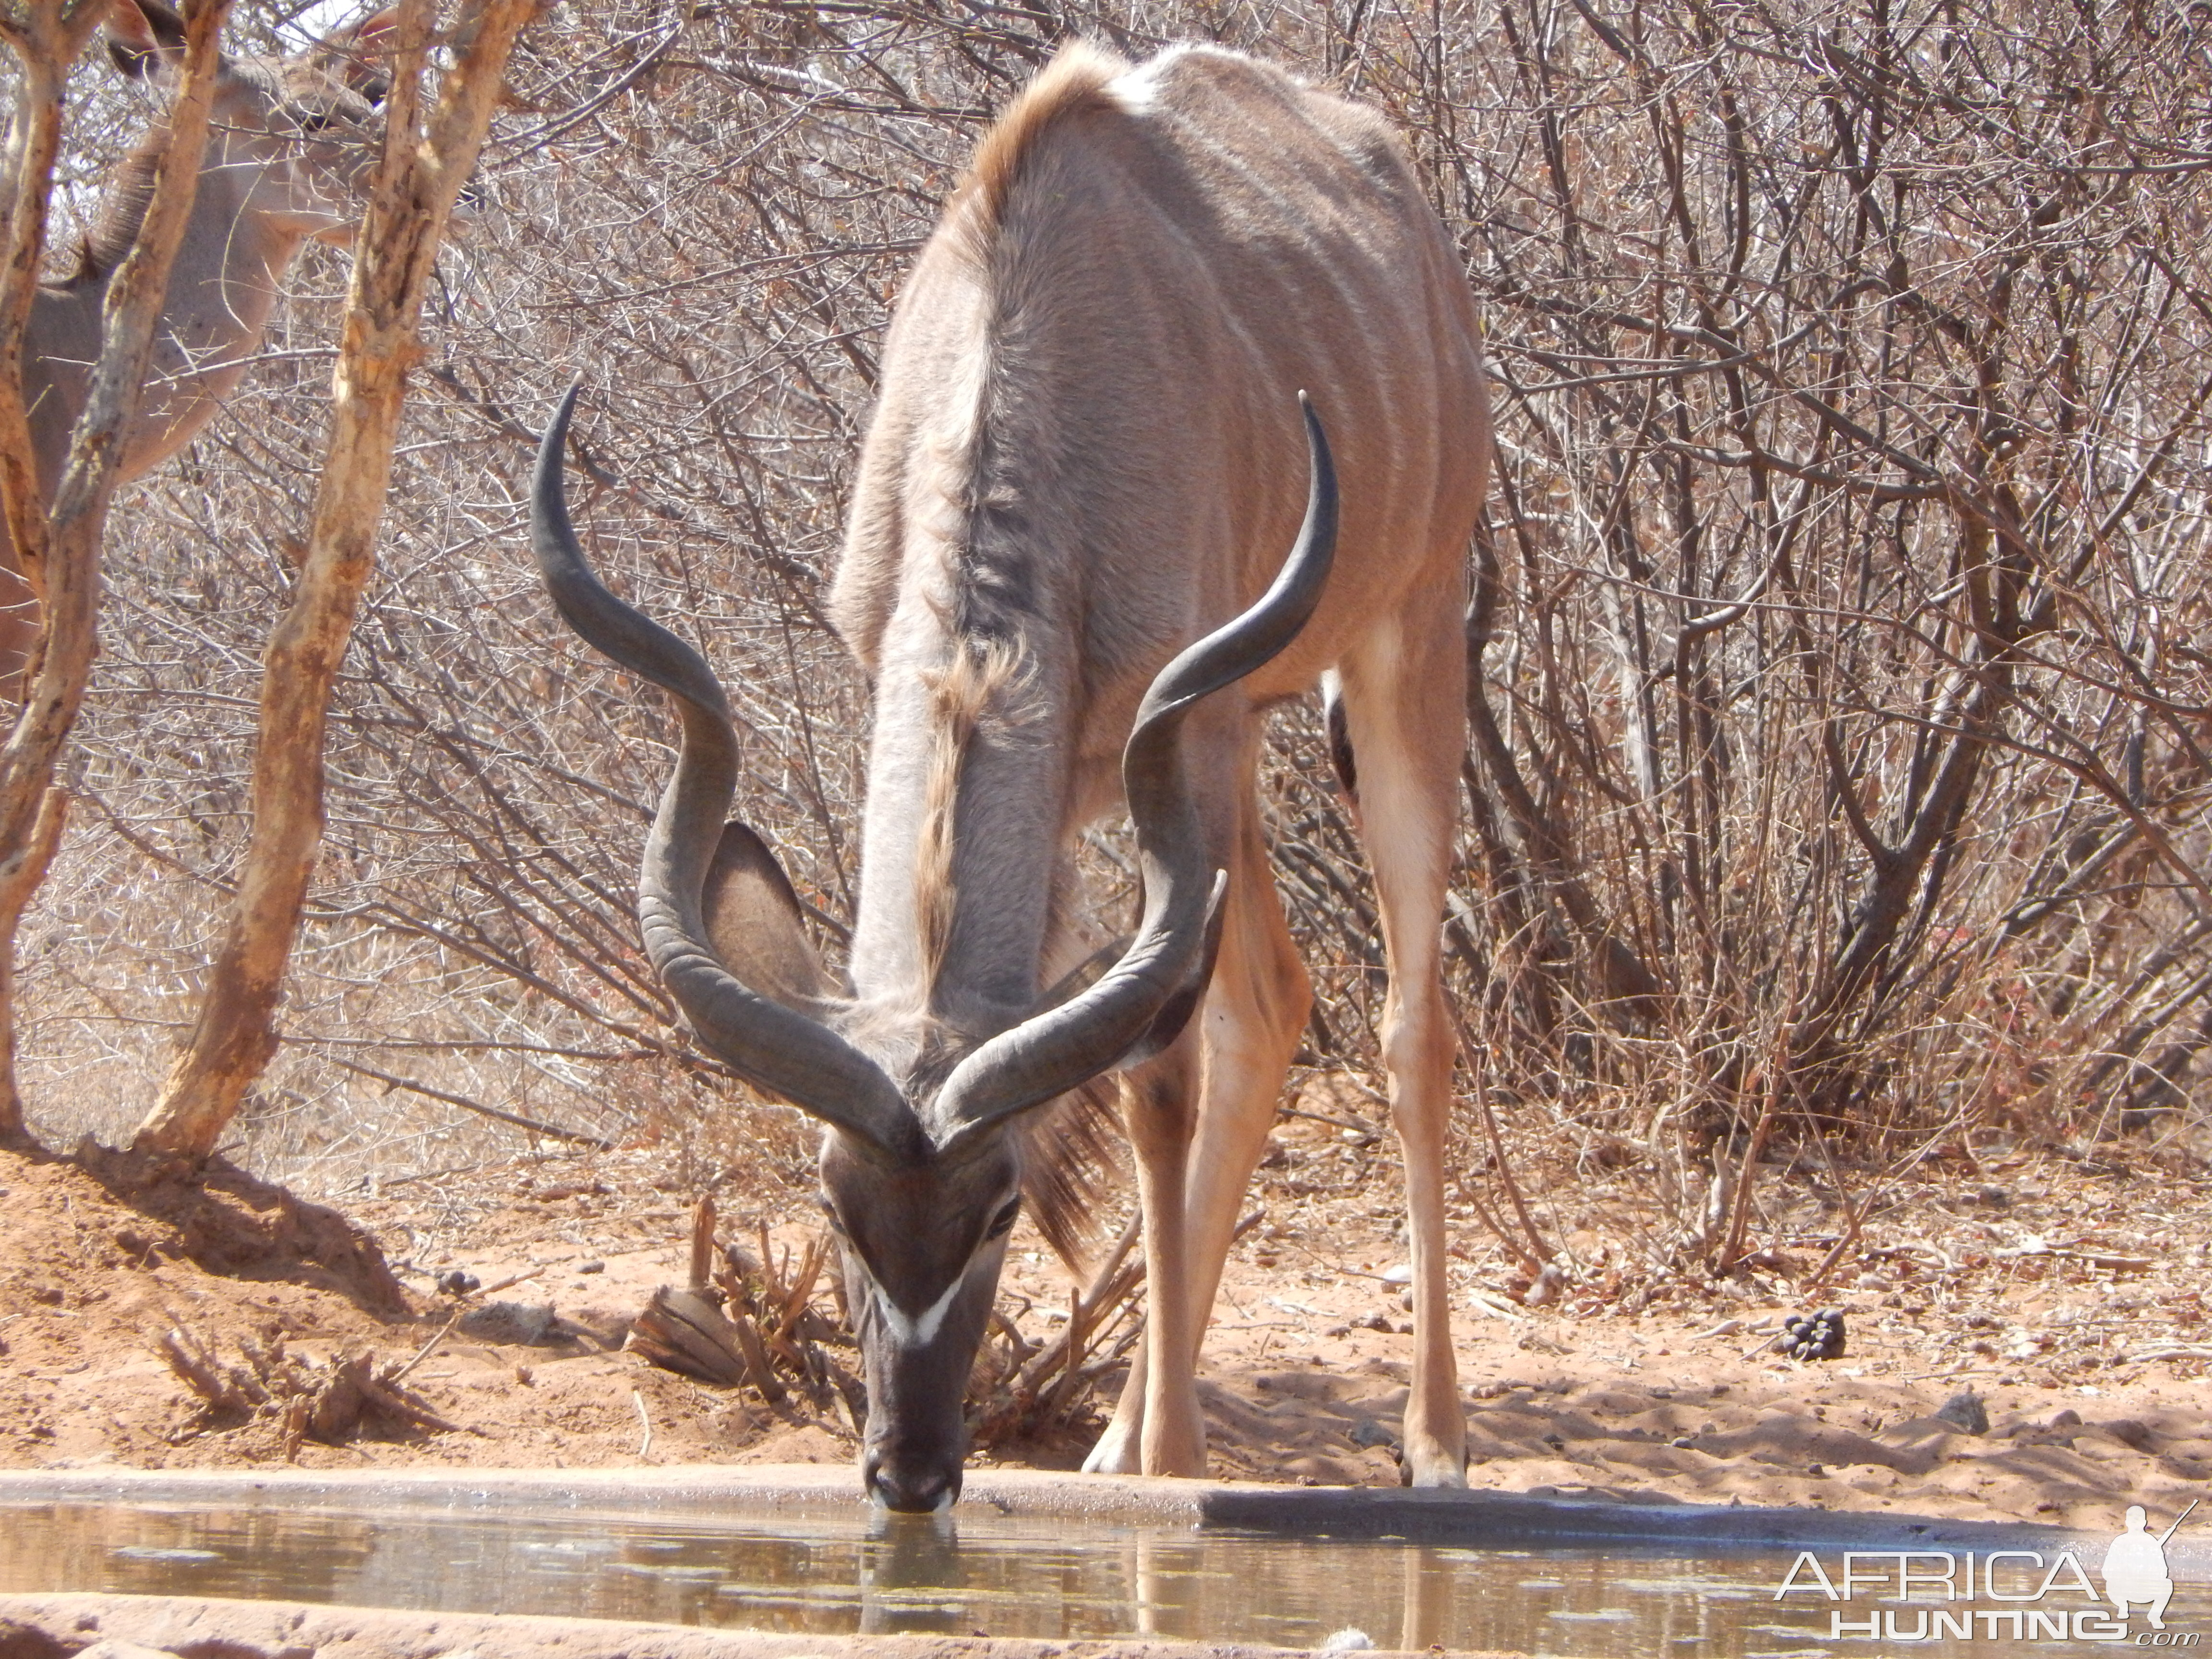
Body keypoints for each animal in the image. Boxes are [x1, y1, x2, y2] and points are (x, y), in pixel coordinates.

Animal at [529, 45, 1495, 1513]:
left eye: (996, 1209)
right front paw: (1134, 1444)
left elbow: (1158, 1083)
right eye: (834, 1203)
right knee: (1272, 1000)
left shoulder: (1191, 721)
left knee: (1401, 1022)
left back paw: (1431, 1439)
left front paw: (1174, 1464)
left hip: (1405, 643)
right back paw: (1110, 1435)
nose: (912, 1470)